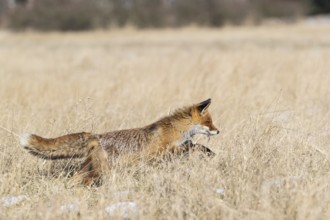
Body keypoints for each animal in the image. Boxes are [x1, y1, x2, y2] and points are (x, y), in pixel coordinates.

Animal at [18, 99, 219, 185]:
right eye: (209, 122)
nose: (218, 131)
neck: (177, 130)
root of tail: (96, 136)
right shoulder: (164, 151)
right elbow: (192, 147)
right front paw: (206, 152)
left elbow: (195, 146)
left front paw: (209, 152)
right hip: (101, 171)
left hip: (91, 168)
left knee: (74, 178)